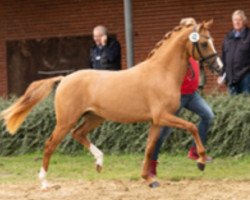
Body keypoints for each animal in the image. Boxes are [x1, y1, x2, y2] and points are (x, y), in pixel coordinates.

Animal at [0, 20, 223, 189]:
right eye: (204, 43)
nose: (220, 68)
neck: (161, 72)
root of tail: (64, 79)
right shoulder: (163, 116)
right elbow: (192, 127)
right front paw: (202, 160)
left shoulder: (157, 121)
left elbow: (150, 147)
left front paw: (149, 178)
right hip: (66, 120)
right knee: (50, 144)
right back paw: (45, 182)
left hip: (94, 117)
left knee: (78, 134)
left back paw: (99, 162)